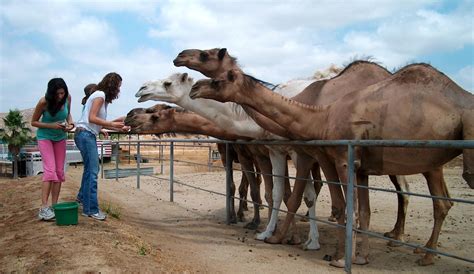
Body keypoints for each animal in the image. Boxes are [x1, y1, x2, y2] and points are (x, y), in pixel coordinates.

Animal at [189, 65, 474, 266]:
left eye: (218, 80)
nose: (195, 88)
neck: (323, 116)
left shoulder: (342, 158)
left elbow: (344, 208)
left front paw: (337, 257)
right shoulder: (360, 168)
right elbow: (362, 211)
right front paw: (360, 258)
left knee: (442, 198)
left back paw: (425, 254)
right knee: (437, 200)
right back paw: (419, 249)